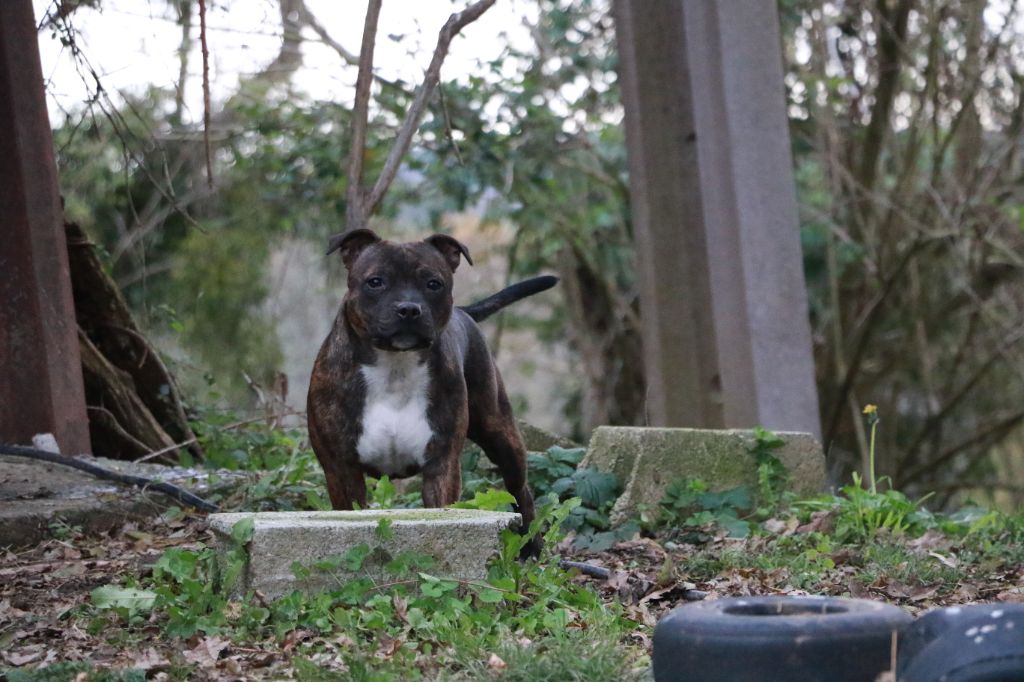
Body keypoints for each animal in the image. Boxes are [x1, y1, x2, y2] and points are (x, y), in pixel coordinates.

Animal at [306, 228, 557, 557]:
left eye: (433, 284)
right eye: (375, 281)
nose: (409, 309)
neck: (394, 367)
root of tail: (463, 312)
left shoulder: (442, 466)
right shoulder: (341, 469)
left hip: (500, 434)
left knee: (520, 490)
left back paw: (531, 547)